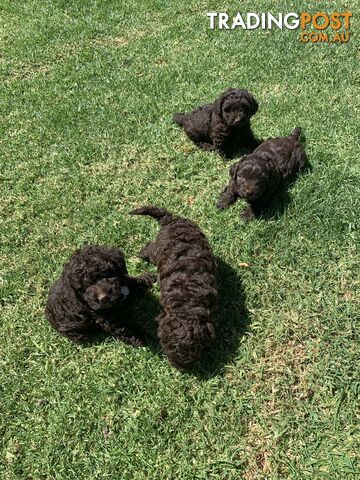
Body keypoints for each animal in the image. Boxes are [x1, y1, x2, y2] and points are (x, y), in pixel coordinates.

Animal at [131, 205, 218, 368]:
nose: (180, 368)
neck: (187, 306)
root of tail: (171, 219)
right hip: (157, 249)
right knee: (150, 248)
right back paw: (142, 253)